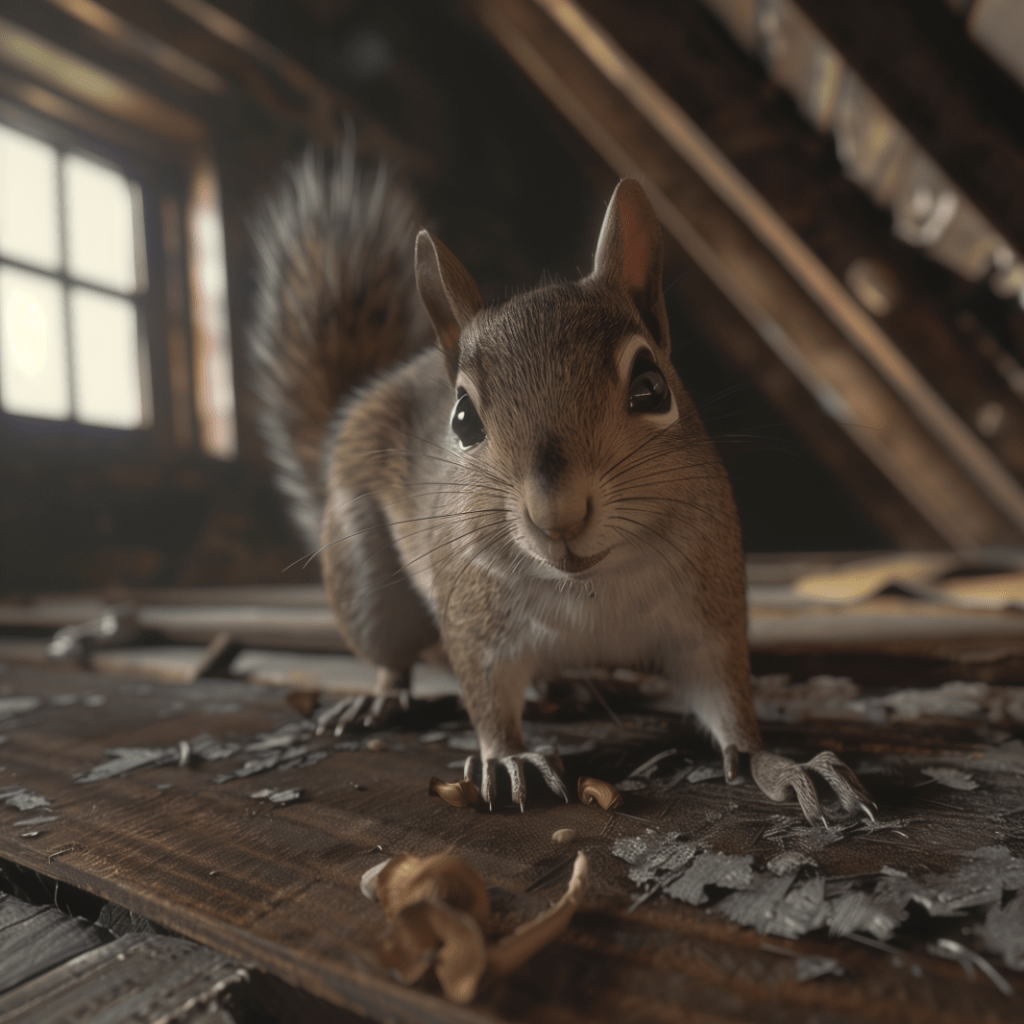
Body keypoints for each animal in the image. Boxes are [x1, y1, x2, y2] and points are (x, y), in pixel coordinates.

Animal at [249, 149, 880, 823]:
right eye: (462, 419)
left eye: (652, 387)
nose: (558, 513)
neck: (591, 588)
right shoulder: (474, 623)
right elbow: (486, 698)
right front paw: (507, 760)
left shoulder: (707, 621)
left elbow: (733, 713)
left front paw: (789, 766)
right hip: (363, 579)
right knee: (392, 658)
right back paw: (380, 697)